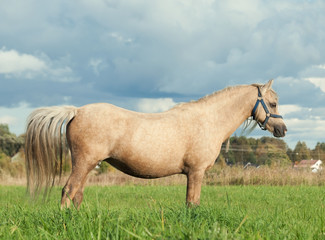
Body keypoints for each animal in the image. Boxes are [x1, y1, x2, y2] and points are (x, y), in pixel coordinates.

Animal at [25, 80, 286, 208]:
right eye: (273, 103)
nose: (282, 130)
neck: (209, 119)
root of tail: (76, 111)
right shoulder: (196, 172)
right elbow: (192, 203)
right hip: (83, 163)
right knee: (68, 191)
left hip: (88, 165)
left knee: (77, 194)